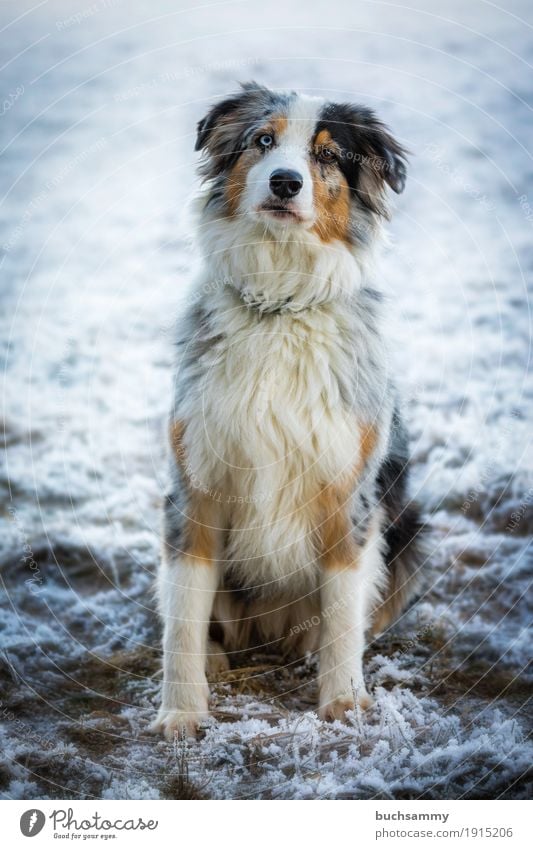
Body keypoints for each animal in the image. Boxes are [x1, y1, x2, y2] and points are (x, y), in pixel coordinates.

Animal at [151, 83, 424, 740]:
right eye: (262, 141)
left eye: (326, 156)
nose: (284, 182)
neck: (279, 304)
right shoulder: (195, 485)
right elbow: (183, 614)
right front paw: (181, 711)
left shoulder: (348, 495)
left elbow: (345, 616)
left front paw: (344, 703)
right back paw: (218, 662)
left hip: (407, 535)